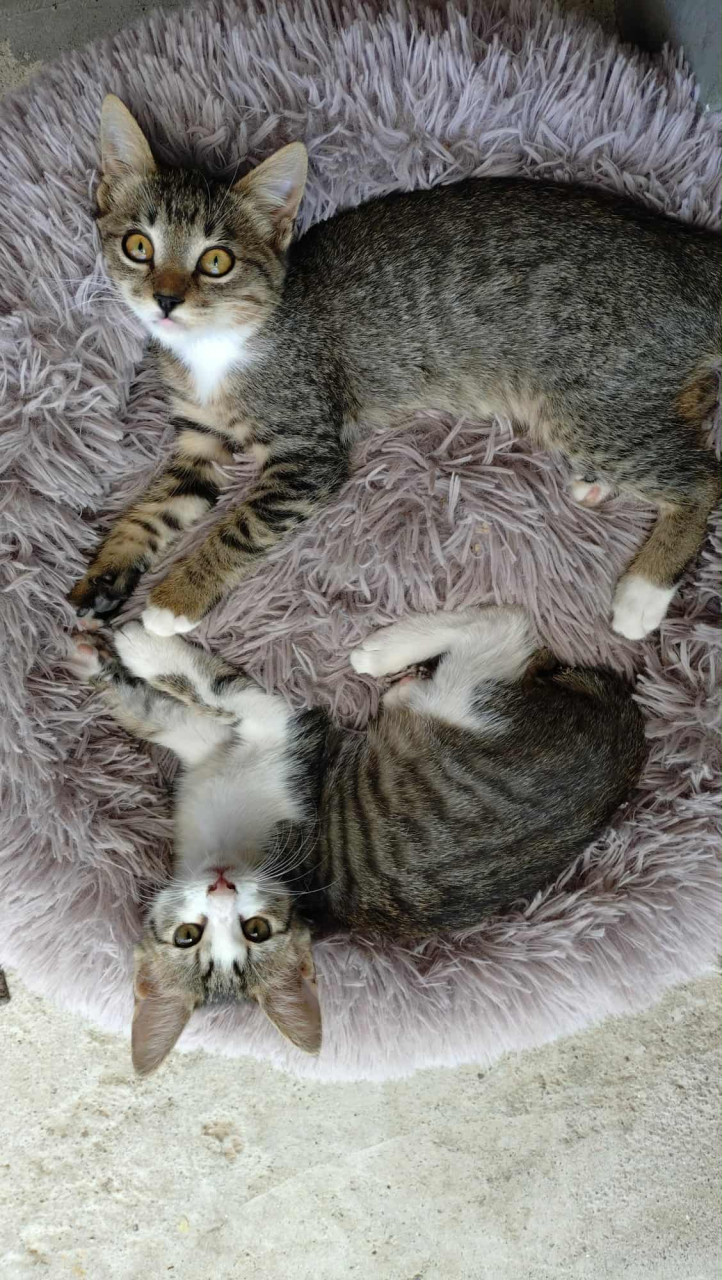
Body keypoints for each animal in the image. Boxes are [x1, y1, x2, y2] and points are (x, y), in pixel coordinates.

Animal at [68, 95, 719, 642]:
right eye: (138, 246)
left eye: (216, 261)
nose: (166, 299)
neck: (219, 346)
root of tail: (685, 248)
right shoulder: (198, 440)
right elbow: (153, 510)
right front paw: (104, 577)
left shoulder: (309, 450)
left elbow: (243, 525)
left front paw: (175, 597)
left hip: (586, 401)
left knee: (704, 475)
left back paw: (643, 593)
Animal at [69, 605, 646, 1073]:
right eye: (189, 936)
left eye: (256, 930)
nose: (221, 889)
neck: (225, 850)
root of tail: (628, 739)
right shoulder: (228, 747)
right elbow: (167, 714)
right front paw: (102, 663)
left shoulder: (283, 736)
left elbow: (213, 690)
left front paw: (138, 648)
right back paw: (399, 679)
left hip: (468, 705)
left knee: (507, 626)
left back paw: (384, 652)